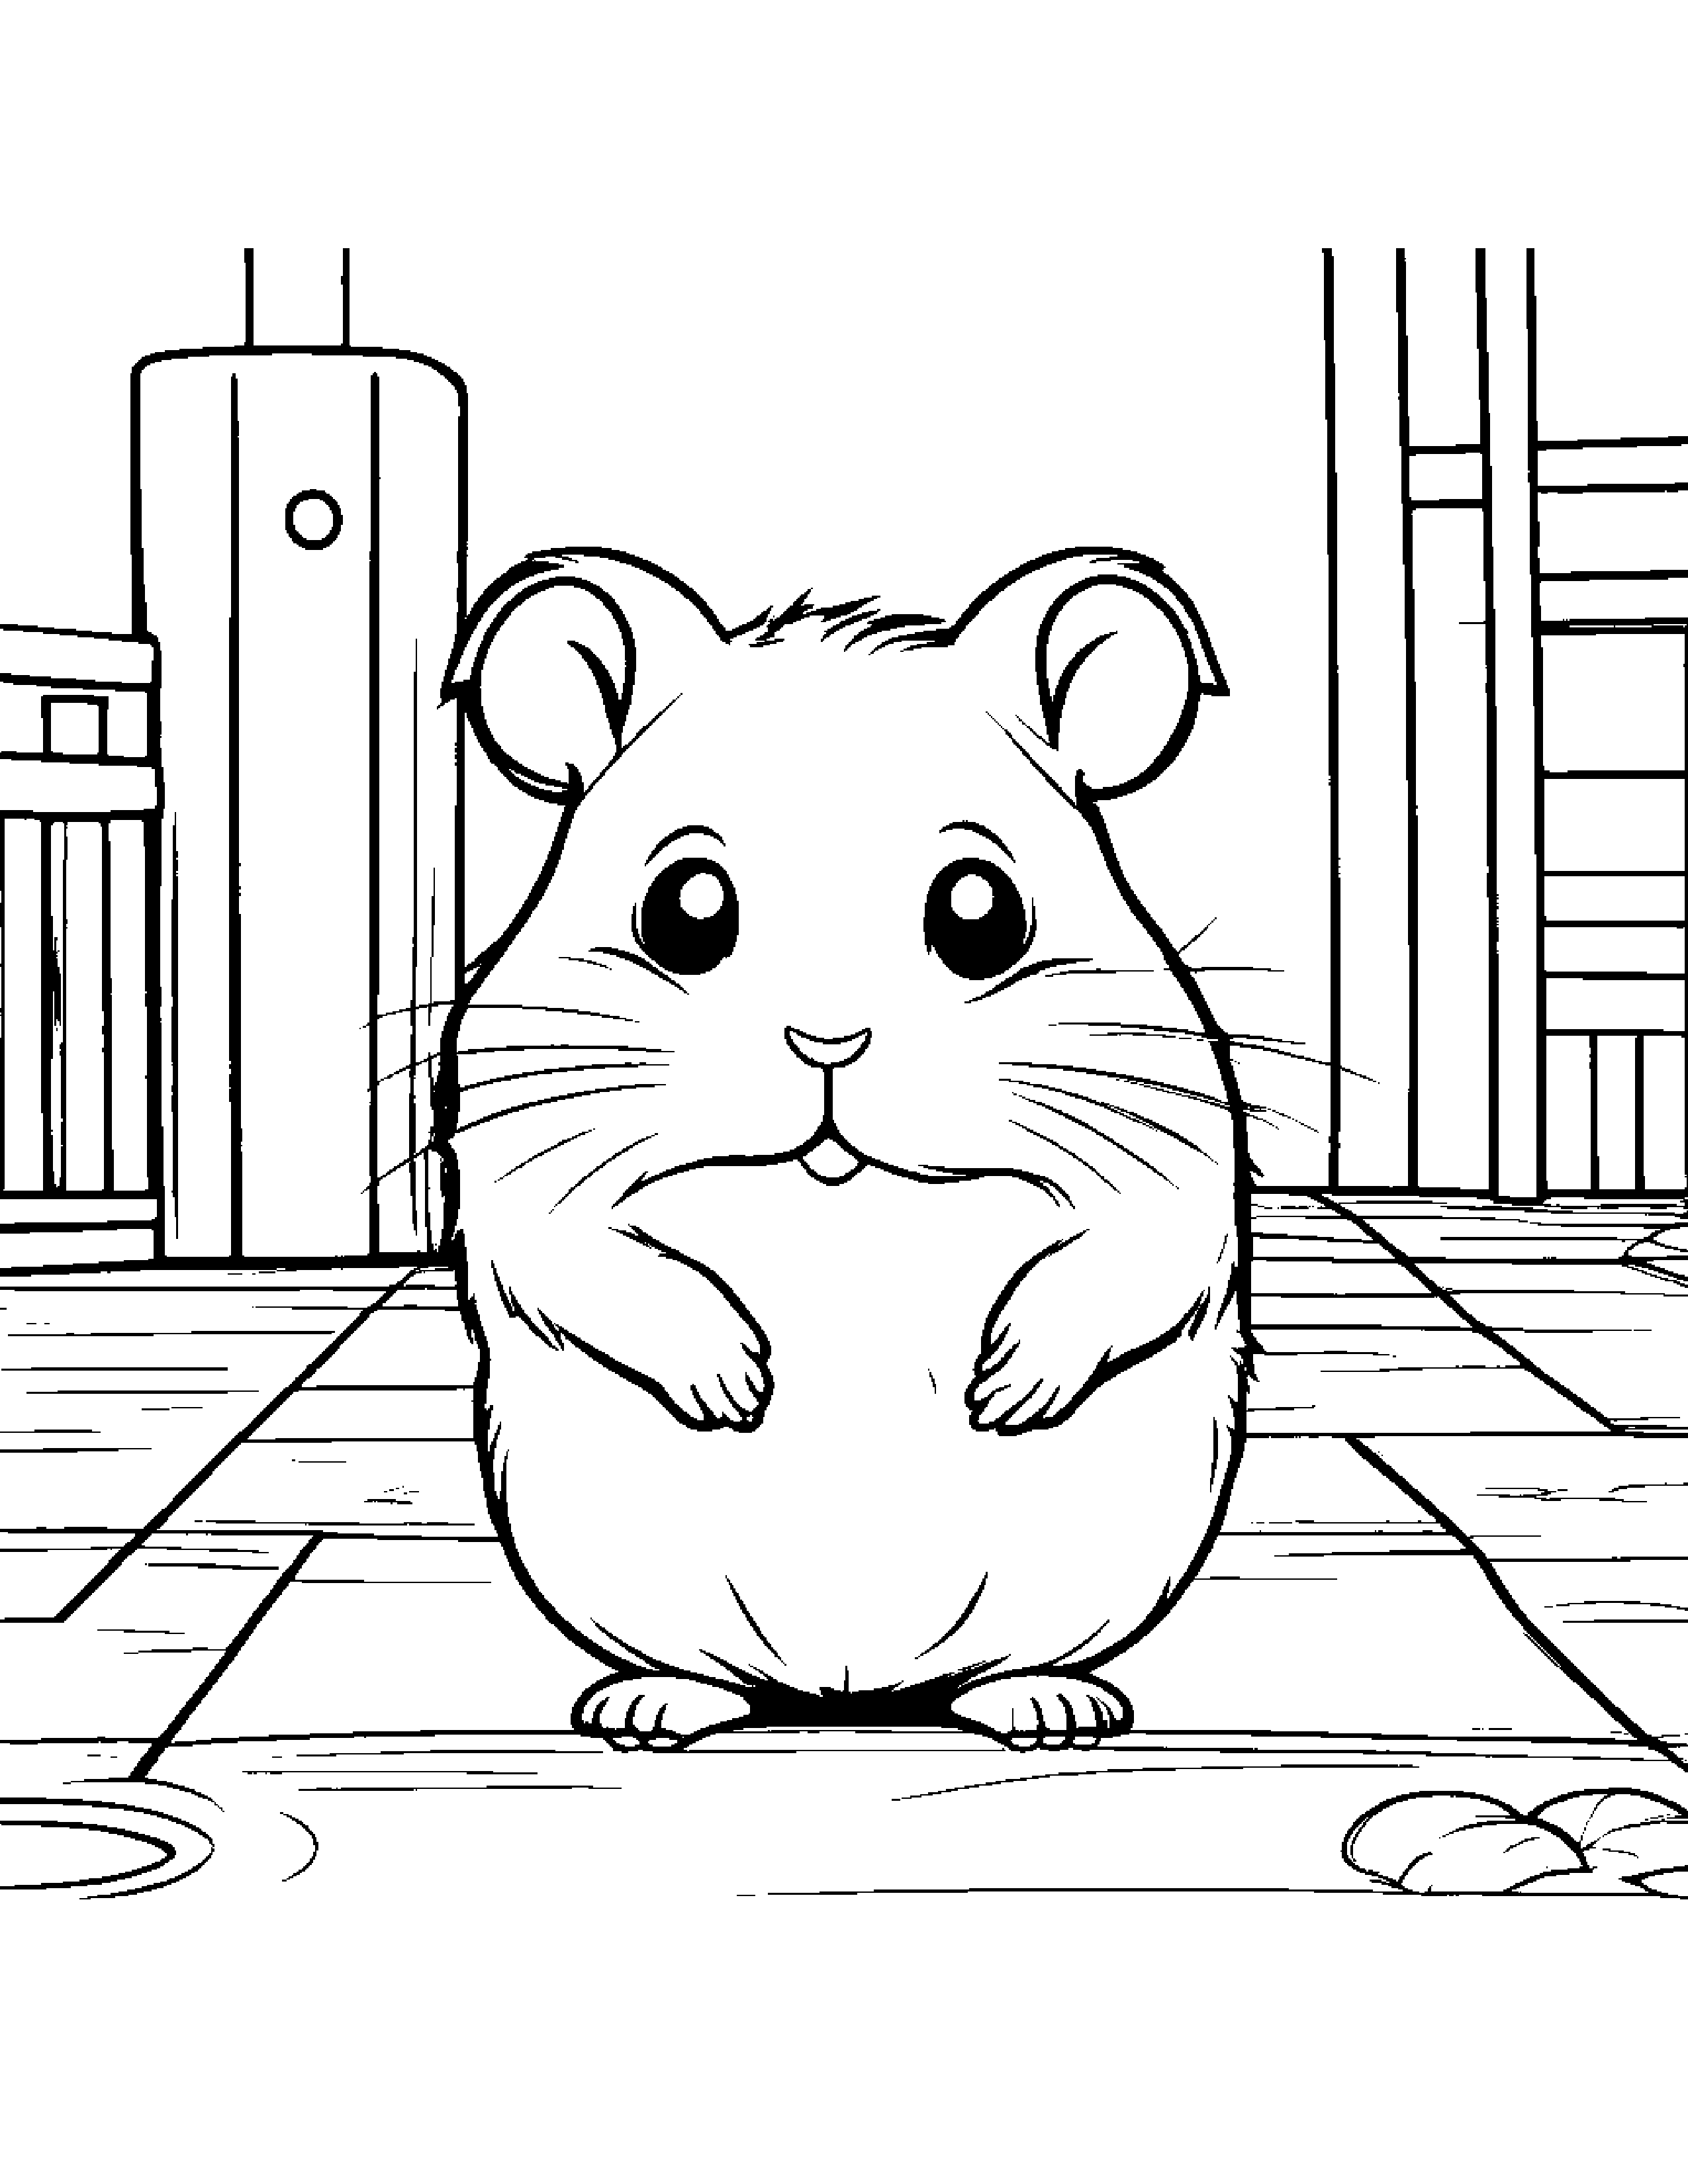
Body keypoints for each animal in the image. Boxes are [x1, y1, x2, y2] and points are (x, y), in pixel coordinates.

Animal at [439, 547, 1250, 1750]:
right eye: (684, 910)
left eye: (981, 912)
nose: (829, 1043)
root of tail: (852, 1691)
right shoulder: (512, 1137)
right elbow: (573, 1251)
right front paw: (736, 1384)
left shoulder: (1173, 1129)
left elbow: (1144, 1245)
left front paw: (1005, 1389)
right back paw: (646, 1710)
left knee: (1001, 1671)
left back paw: (1051, 1710)